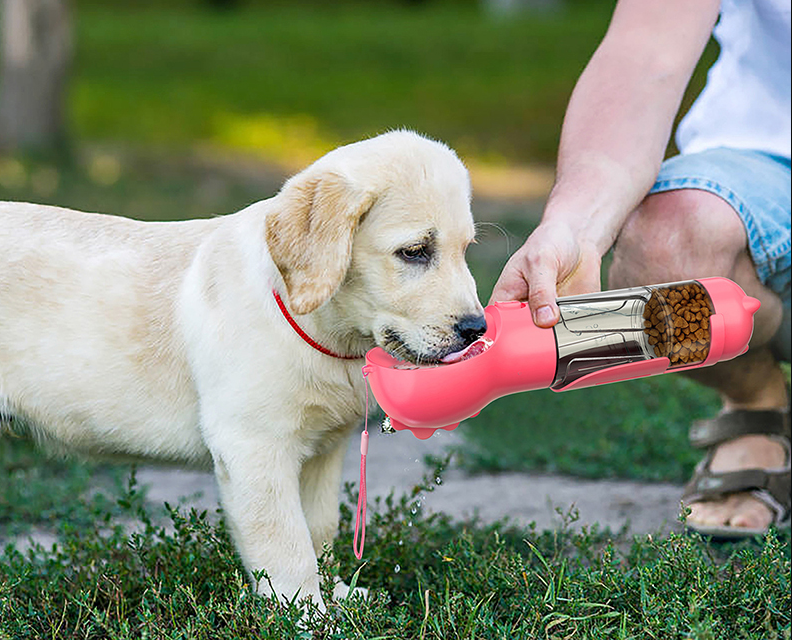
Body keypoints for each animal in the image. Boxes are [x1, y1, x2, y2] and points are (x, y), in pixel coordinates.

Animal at [0, 130, 486, 608]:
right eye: (415, 252)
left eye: (466, 250)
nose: (476, 329)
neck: (320, 329)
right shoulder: (254, 447)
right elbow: (287, 545)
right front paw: (306, 615)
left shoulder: (324, 451)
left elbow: (319, 529)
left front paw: (337, 596)